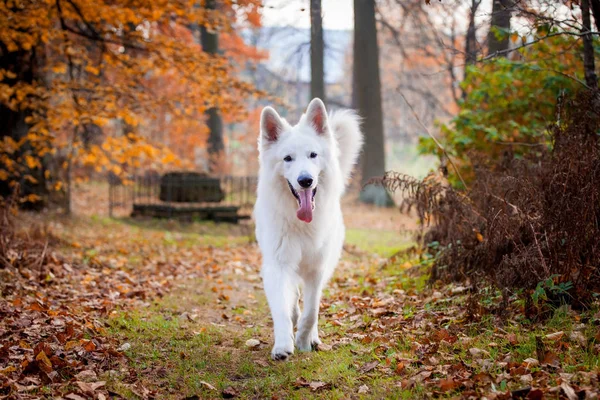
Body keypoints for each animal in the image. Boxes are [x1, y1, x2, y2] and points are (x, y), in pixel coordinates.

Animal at [252, 98, 360, 360]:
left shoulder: (317, 269)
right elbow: (282, 310)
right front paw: (283, 344)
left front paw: (303, 339)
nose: (305, 180)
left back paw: (312, 336)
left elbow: (312, 312)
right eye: (287, 158)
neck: (301, 224)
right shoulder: (277, 266)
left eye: (313, 155)